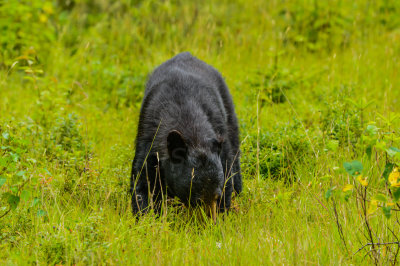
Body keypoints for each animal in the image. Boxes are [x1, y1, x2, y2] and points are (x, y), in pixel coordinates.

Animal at [131, 52, 242, 222]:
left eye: (217, 196)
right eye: (197, 200)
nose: (210, 222)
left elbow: (228, 172)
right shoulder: (150, 137)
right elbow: (143, 181)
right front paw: (145, 217)